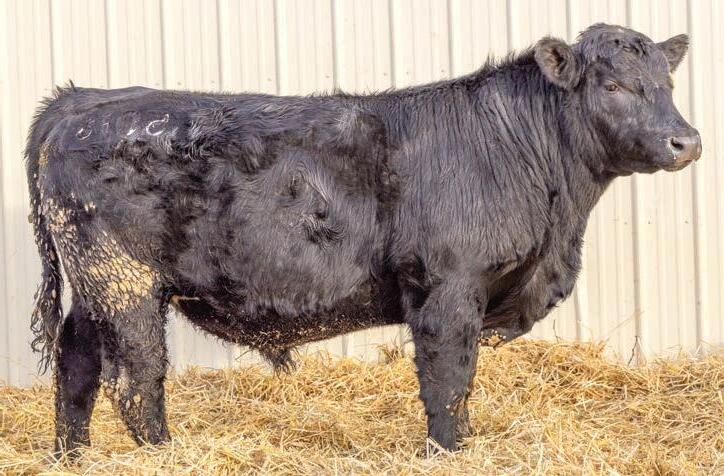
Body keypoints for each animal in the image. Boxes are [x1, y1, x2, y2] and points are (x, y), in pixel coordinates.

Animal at [25, 23, 700, 455]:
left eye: (667, 82)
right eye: (612, 85)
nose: (686, 141)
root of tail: (80, 102)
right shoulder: (448, 290)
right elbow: (449, 382)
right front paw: (450, 452)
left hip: (93, 285)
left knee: (76, 363)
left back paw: (71, 456)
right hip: (125, 282)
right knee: (136, 383)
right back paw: (163, 453)